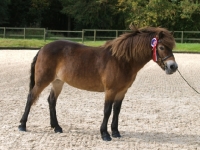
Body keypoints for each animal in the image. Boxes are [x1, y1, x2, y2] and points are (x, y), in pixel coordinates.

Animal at [18, 26, 178, 141]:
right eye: (161, 47)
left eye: (171, 47)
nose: (173, 67)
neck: (121, 60)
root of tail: (43, 48)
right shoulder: (110, 90)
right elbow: (107, 110)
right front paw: (105, 134)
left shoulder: (122, 91)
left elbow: (117, 110)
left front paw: (115, 132)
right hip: (43, 80)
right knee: (31, 97)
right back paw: (22, 125)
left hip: (58, 82)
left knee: (51, 100)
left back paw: (56, 127)